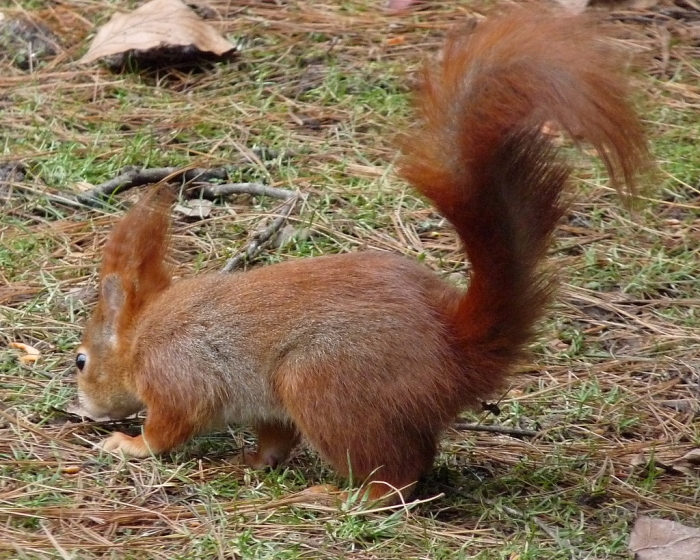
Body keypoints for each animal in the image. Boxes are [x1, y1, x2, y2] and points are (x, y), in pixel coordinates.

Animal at [73, 10, 650, 504]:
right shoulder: (266, 411)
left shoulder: (178, 376)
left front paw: (130, 445)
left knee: (396, 477)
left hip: (321, 381)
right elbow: (274, 438)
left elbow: (169, 426)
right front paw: (251, 463)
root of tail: (457, 351)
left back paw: (338, 497)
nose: (82, 408)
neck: (143, 335)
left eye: (81, 360)